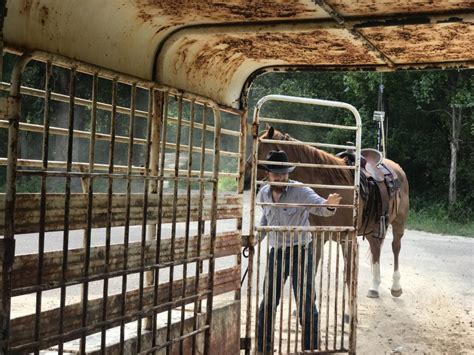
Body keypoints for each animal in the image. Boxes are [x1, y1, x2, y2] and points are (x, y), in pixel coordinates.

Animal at [244, 126, 412, 298]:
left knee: (395, 247)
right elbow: (310, 271)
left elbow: (348, 276)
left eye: (261, 150)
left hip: (398, 223)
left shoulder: (347, 239)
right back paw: (374, 287)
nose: (245, 177)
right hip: (373, 228)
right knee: (376, 247)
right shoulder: (318, 237)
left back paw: (396, 286)